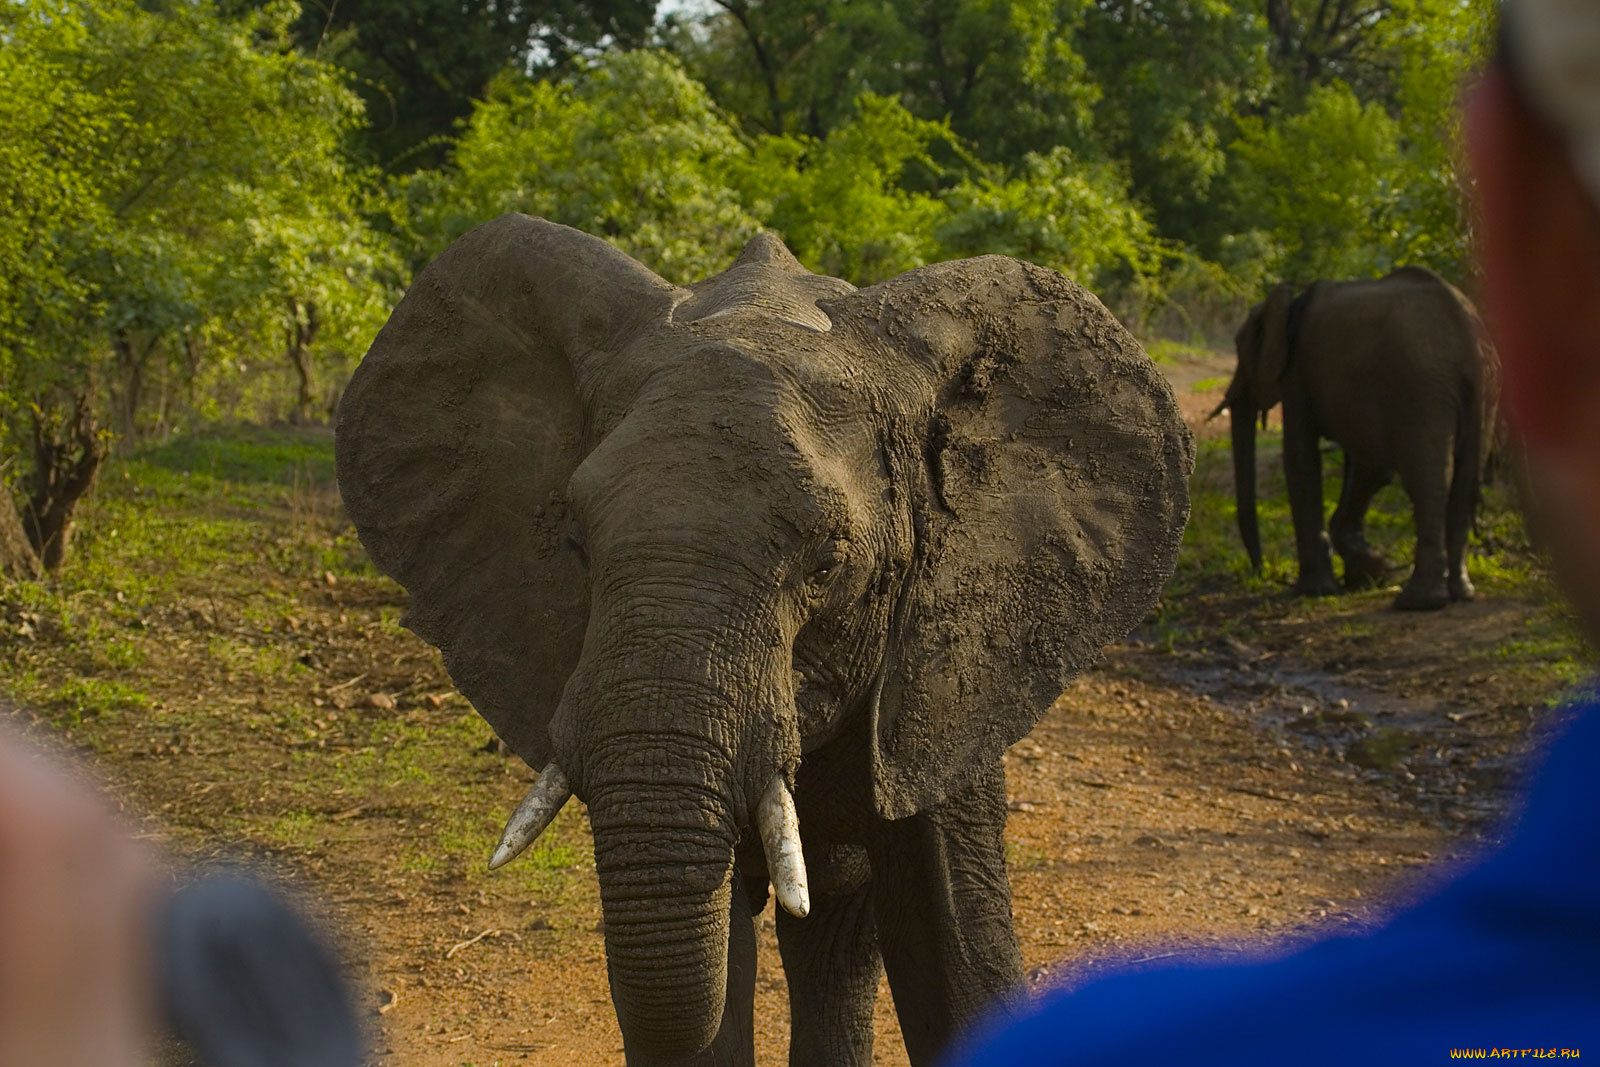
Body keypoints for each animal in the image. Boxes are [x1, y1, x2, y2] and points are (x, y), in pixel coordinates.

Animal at [1216, 267, 1491, 614]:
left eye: (1240, 348)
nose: (1261, 570)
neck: (1288, 301)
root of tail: (1465, 329)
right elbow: (1369, 469)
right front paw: (1370, 571)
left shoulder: (1298, 372)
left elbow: (1301, 459)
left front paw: (1315, 590)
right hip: (1483, 389)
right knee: (1465, 480)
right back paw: (1460, 592)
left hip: (1421, 386)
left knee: (1427, 480)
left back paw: (1418, 601)